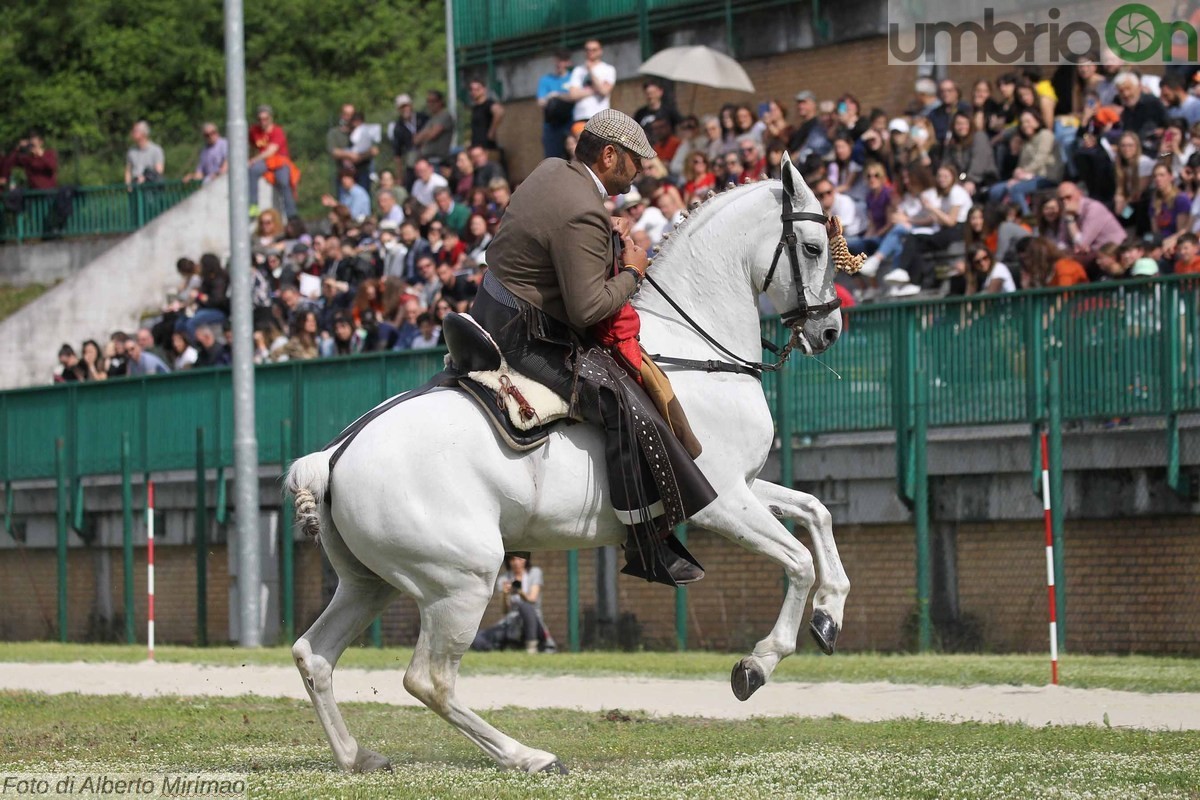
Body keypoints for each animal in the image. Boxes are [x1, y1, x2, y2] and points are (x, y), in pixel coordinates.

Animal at [286, 151, 854, 777]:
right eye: (812, 247)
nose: (830, 329)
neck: (695, 353)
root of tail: (333, 455)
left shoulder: (743, 487)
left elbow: (817, 511)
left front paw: (829, 615)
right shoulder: (719, 501)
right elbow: (797, 559)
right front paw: (757, 664)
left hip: (370, 584)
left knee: (315, 655)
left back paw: (358, 756)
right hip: (462, 581)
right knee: (428, 679)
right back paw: (527, 755)